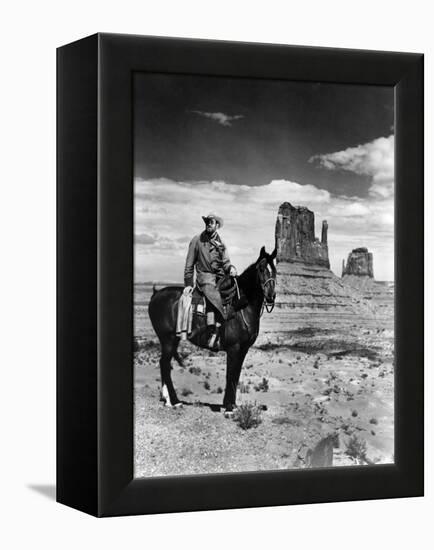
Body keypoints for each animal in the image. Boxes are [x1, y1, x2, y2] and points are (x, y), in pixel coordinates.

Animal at [147, 246, 276, 414]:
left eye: (274, 269)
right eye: (261, 268)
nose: (271, 296)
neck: (242, 306)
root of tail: (156, 294)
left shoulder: (243, 349)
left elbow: (236, 375)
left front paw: (232, 405)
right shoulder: (234, 348)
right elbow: (230, 375)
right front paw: (229, 407)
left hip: (172, 340)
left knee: (165, 364)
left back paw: (167, 399)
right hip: (167, 339)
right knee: (164, 364)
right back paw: (174, 401)